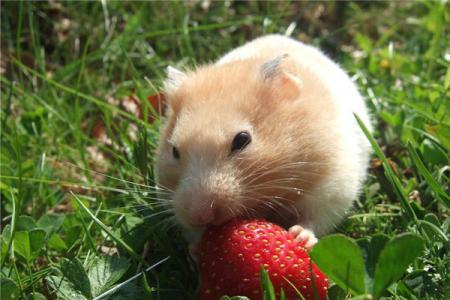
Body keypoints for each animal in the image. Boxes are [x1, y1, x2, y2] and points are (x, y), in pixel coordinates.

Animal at [155, 34, 372, 247]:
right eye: (174, 151)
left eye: (242, 140)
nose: (199, 215)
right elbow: (194, 235)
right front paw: (197, 247)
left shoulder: (333, 186)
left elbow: (315, 219)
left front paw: (299, 237)